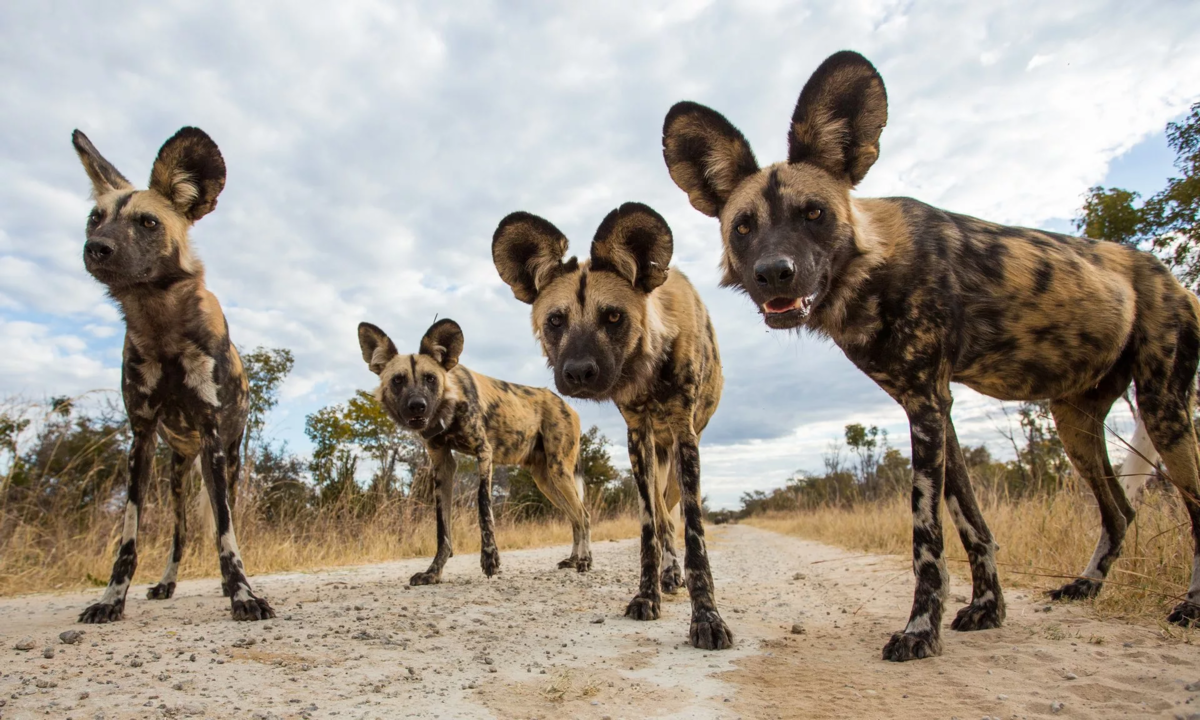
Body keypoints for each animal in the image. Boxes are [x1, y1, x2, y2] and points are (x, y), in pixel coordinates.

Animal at [72, 126, 274, 619]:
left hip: (226, 462)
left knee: (223, 519)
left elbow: (226, 534)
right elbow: (128, 539)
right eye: (94, 218)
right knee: (179, 534)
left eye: (148, 223)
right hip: (177, 474)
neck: (160, 323)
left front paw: (242, 594)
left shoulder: (213, 436)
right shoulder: (141, 438)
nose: (96, 248)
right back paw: (166, 583)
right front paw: (111, 599)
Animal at [357, 316, 597, 583]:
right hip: (545, 480)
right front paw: (433, 572)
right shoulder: (443, 466)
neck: (449, 407)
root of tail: (567, 405)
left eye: (430, 378)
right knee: (575, 518)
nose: (417, 406)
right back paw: (574, 559)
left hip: (559, 471)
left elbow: (483, 505)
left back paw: (585, 560)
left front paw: (490, 559)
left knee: (584, 516)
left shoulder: (484, 452)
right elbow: (442, 529)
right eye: (397, 380)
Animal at [489, 204, 729, 652]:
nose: (579, 372)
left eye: (614, 317)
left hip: (675, 458)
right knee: (662, 520)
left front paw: (706, 617)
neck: (648, 367)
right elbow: (649, 530)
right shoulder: (638, 437)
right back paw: (668, 576)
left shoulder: (684, 435)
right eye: (556, 321)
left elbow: (694, 535)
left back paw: (676, 576)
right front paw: (647, 596)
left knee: (673, 517)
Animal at [662, 47, 1200, 662]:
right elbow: (971, 525)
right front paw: (987, 609)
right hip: (1075, 424)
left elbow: (928, 534)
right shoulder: (937, 408)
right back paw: (1085, 586)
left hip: (1162, 407)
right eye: (744, 227)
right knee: (1120, 509)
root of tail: (1171, 275)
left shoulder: (925, 403)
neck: (869, 272)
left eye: (814, 213)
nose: (775, 273)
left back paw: (1189, 607)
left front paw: (921, 630)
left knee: (1194, 505)